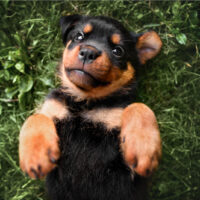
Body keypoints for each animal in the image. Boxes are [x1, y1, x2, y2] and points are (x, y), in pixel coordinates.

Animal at [18, 14, 162, 199]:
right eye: (79, 36)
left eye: (118, 51)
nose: (88, 52)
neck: (85, 101)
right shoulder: (54, 103)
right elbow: (35, 116)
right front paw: (36, 157)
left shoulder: (129, 174)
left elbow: (139, 105)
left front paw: (142, 150)